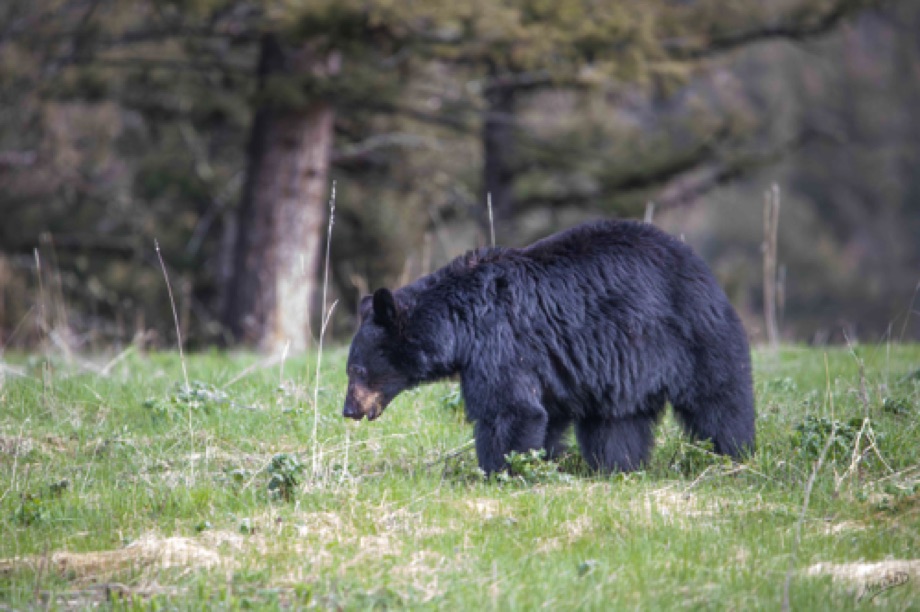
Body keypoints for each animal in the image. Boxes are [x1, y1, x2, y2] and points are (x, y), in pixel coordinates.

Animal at [344, 220, 756, 474]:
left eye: (357, 370)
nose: (349, 410)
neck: (461, 323)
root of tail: (701, 267)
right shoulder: (545, 365)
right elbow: (546, 416)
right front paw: (540, 461)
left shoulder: (500, 343)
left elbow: (509, 409)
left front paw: (499, 471)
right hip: (624, 367)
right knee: (617, 422)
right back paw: (616, 467)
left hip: (691, 334)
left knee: (719, 397)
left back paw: (735, 454)